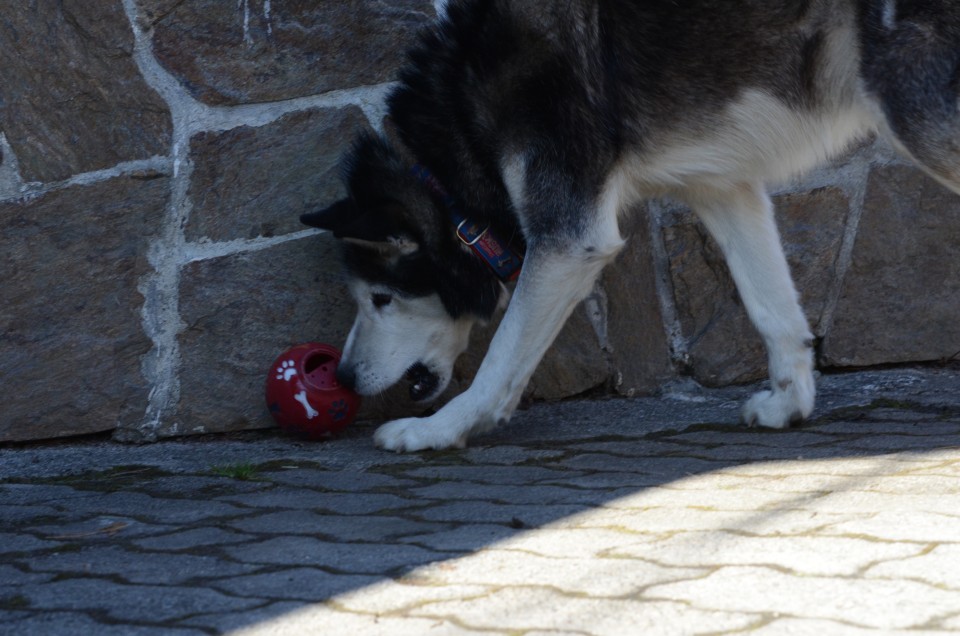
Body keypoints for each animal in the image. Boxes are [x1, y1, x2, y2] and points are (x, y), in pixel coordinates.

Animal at [306, 0, 960, 452]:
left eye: (381, 298)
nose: (342, 376)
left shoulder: (571, 239)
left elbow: (500, 360)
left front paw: (439, 431)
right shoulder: (723, 188)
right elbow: (774, 313)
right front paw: (789, 405)